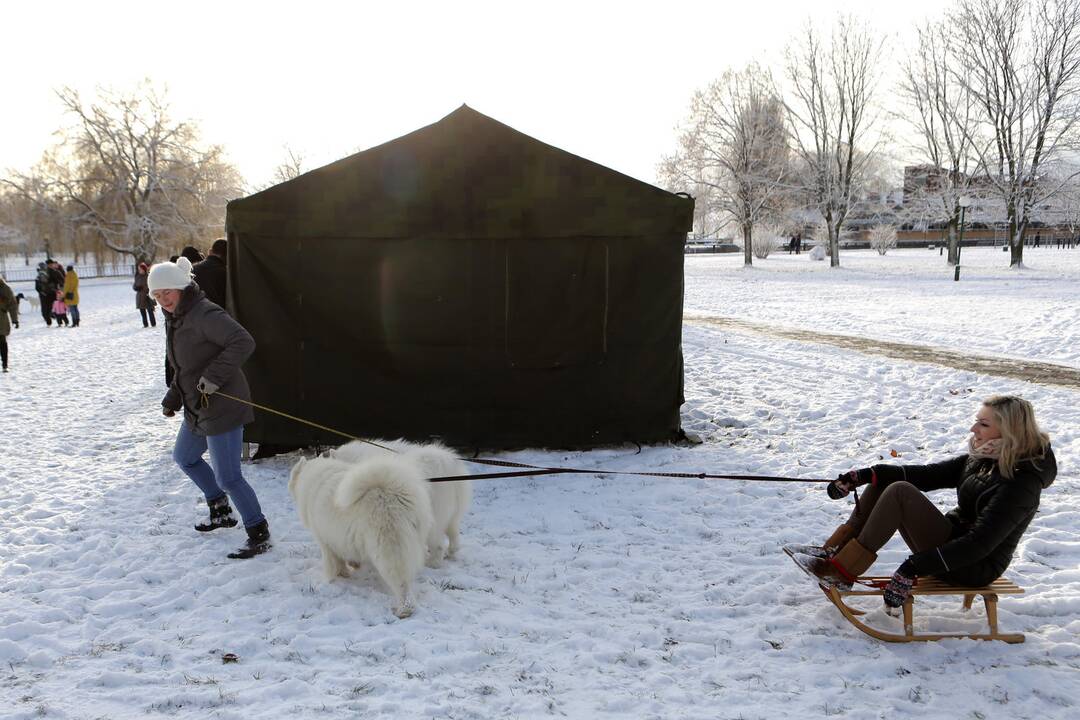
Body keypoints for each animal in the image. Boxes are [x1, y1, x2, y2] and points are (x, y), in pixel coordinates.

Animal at [291, 455, 438, 621]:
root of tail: (394, 492)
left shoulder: (325, 542)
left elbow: (332, 564)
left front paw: (332, 580)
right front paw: (350, 568)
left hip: (388, 550)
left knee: (401, 583)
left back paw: (404, 610)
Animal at [332, 440, 473, 569]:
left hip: (433, 519)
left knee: (439, 545)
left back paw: (433, 563)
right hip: (452, 516)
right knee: (454, 534)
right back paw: (450, 552)